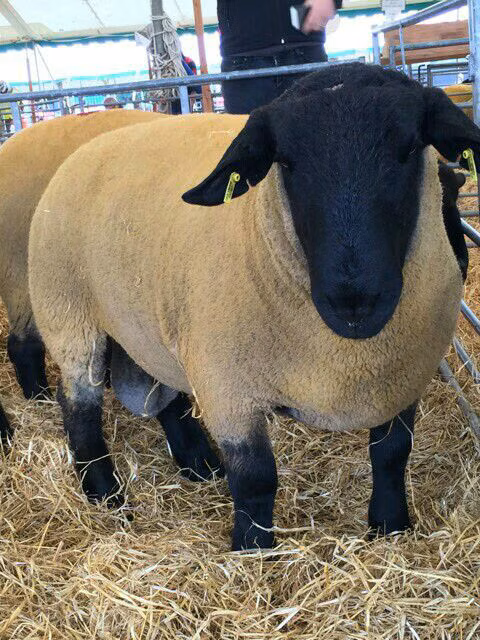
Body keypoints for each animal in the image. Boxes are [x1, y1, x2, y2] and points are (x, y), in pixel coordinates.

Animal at [29, 63, 477, 550]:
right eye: (287, 162)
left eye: (409, 148)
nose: (354, 302)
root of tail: (87, 144)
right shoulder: (229, 387)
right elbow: (255, 478)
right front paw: (252, 550)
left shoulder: (404, 376)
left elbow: (392, 454)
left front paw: (391, 525)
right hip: (68, 314)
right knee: (77, 402)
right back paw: (105, 492)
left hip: (146, 323)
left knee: (160, 390)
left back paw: (198, 463)